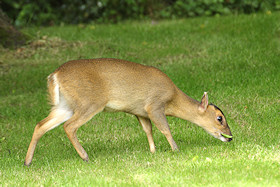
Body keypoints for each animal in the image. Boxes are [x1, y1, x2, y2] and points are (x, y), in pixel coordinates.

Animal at [25, 58, 232, 165]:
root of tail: (55, 75)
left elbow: (148, 130)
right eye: (220, 118)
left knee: (40, 125)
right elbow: (165, 129)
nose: (230, 136)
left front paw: (153, 152)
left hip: (65, 106)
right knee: (69, 126)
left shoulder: (140, 112)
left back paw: (28, 161)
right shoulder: (154, 105)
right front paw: (175, 150)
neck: (172, 98)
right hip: (89, 102)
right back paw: (85, 156)